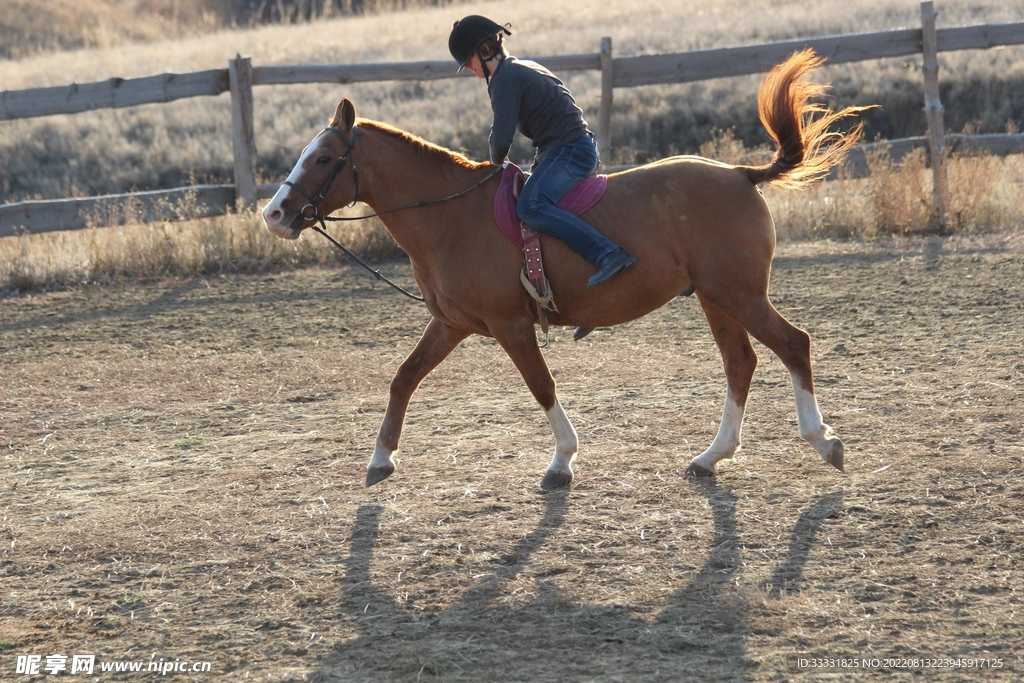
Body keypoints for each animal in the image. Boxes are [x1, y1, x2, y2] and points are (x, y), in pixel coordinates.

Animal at [262, 49, 868, 488]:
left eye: (322, 158)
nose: (274, 214)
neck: (451, 215)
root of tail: (741, 174)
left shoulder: (510, 325)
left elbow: (541, 385)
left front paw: (562, 462)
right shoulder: (452, 324)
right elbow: (404, 377)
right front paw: (380, 458)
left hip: (740, 294)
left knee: (792, 345)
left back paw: (823, 441)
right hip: (714, 298)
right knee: (740, 363)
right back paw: (711, 456)